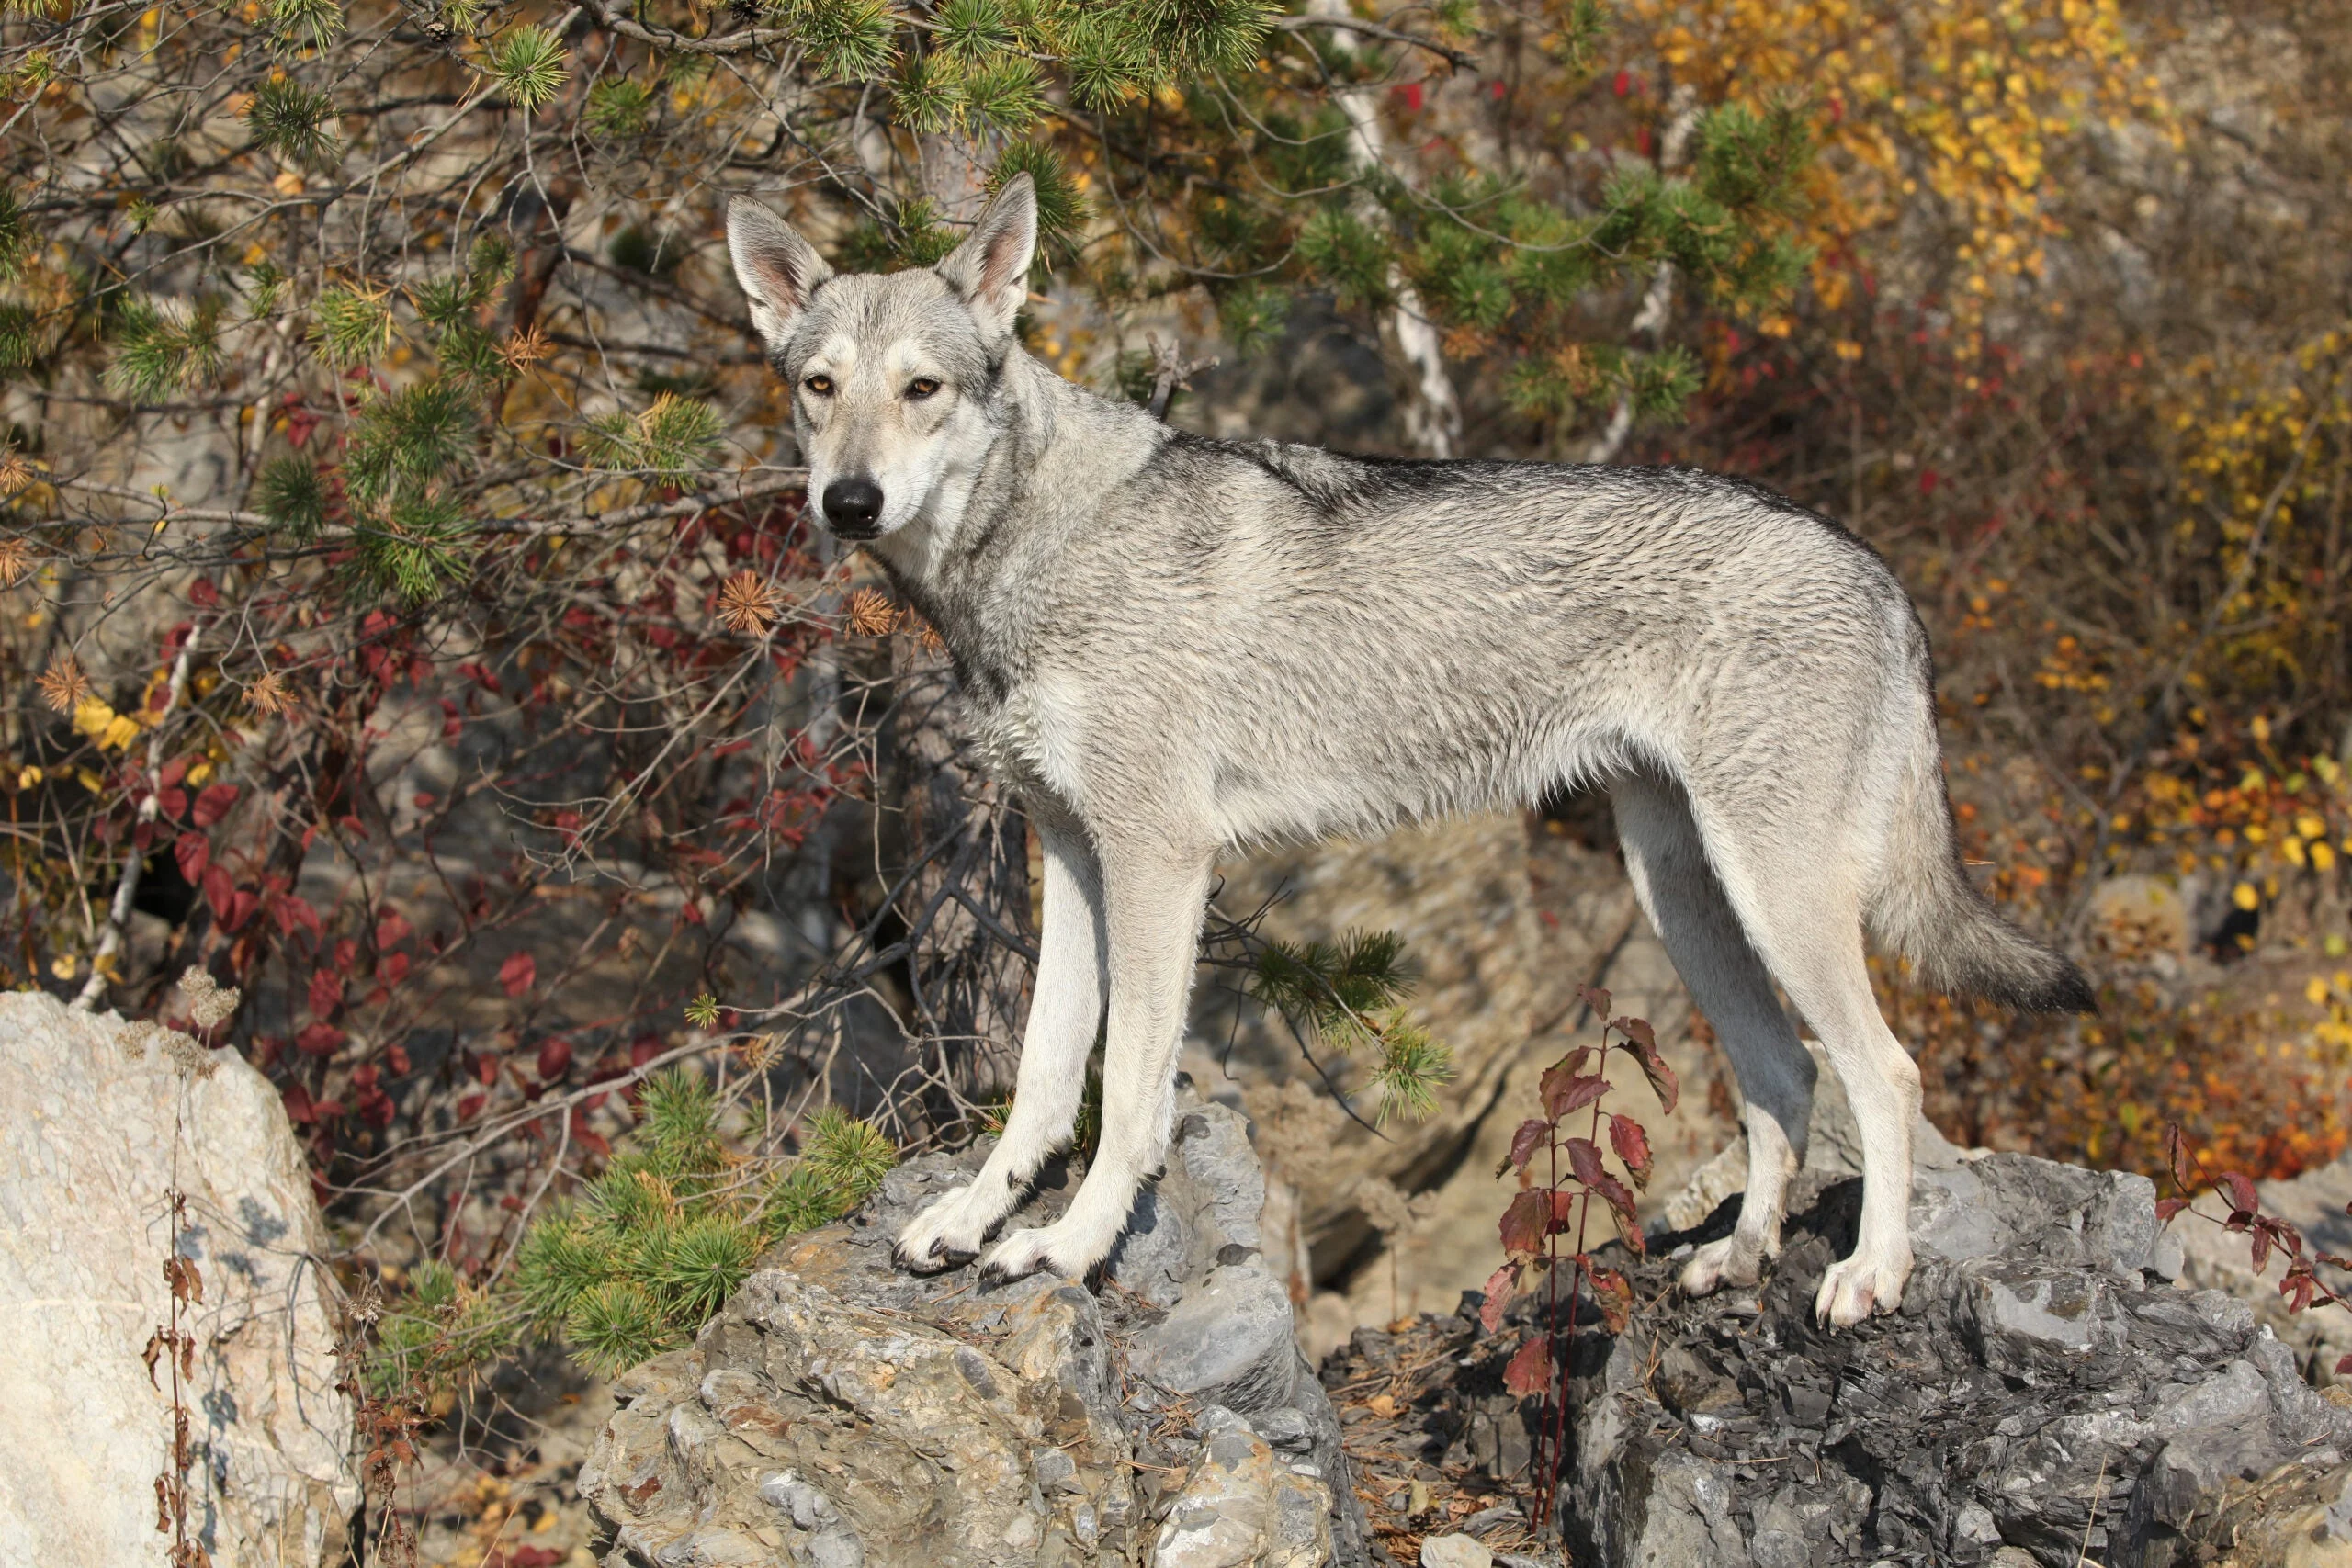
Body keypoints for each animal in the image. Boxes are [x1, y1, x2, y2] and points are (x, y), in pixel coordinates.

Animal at [724, 175, 2088, 1325]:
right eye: (818, 388)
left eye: (922, 390)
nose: (848, 503)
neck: (1038, 548)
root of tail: (1880, 571)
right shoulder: (1068, 853)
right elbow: (1046, 1078)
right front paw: (970, 1219)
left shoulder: (1158, 859)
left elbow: (1129, 1100)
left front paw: (1068, 1244)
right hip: (1686, 896)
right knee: (1786, 1076)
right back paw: (1736, 1259)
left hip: (1774, 894)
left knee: (1887, 1072)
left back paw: (1869, 1275)